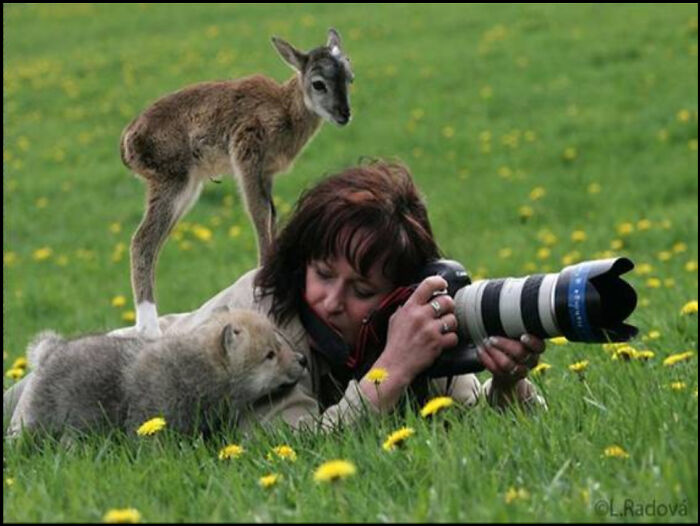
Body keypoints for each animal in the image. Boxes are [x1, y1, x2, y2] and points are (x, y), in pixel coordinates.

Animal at [119, 28, 354, 339]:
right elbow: (258, 212)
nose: (344, 114)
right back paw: (149, 329)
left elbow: (271, 215)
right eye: (318, 84)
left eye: (349, 78)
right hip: (172, 180)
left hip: (186, 188)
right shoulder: (247, 155)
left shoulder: (267, 173)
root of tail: (128, 141)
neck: (285, 110)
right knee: (143, 240)